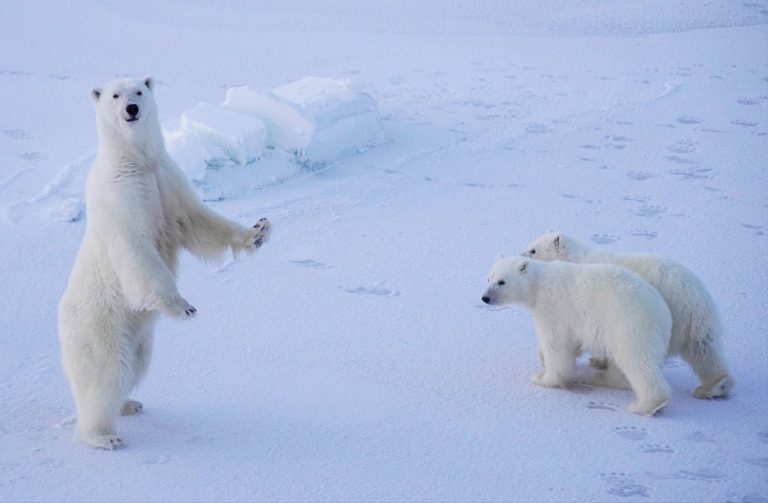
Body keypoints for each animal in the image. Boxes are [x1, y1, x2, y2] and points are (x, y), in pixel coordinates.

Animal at [57, 77, 272, 450]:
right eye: (115, 95)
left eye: (139, 91)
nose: (131, 109)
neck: (137, 160)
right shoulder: (122, 195)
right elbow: (137, 249)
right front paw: (183, 307)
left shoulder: (166, 179)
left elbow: (196, 220)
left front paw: (258, 232)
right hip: (99, 324)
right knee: (107, 372)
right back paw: (103, 435)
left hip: (138, 337)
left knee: (136, 365)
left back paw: (129, 403)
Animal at [486, 256, 672, 418]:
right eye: (489, 278)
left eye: (501, 281)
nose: (485, 298)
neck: (538, 285)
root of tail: (664, 315)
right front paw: (544, 361)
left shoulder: (553, 309)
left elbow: (557, 346)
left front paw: (543, 379)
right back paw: (601, 377)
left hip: (629, 325)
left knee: (636, 361)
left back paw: (645, 405)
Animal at [520, 233, 732, 402]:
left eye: (533, 250)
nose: (520, 255)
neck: (576, 258)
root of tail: (696, 301)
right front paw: (596, 360)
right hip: (698, 327)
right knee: (705, 352)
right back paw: (715, 386)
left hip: (669, 319)